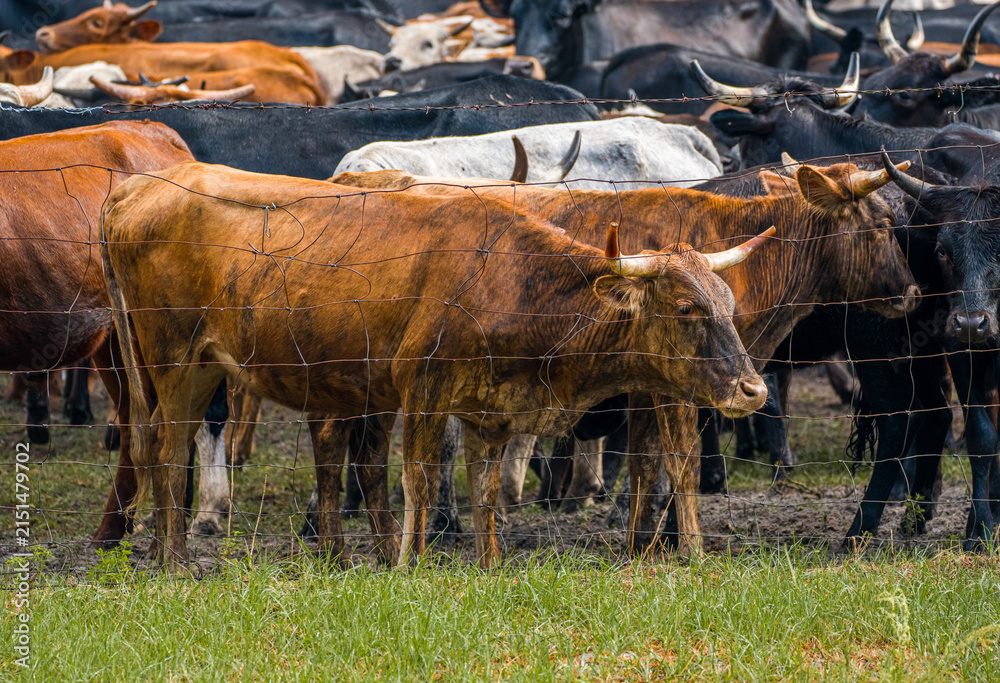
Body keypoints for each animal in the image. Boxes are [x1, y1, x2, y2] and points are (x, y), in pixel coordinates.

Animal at [101, 161, 772, 568]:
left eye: (727, 301)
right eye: (686, 309)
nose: (753, 390)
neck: (506, 275)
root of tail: (143, 186)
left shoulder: (490, 411)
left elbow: (484, 493)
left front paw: (490, 565)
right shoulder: (422, 394)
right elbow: (421, 483)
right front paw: (410, 564)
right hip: (175, 363)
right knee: (166, 448)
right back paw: (175, 563)